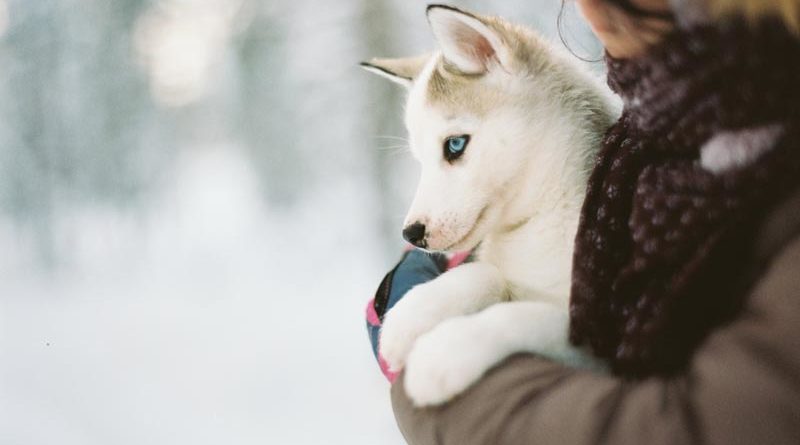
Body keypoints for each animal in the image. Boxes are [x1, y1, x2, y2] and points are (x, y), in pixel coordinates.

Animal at [362, 4, 620, 406]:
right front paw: (415, 313)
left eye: (454, 145)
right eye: (419, 158)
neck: (539, 219)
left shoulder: (605, 338)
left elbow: (527, 316)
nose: (411, 233)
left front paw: (444, 353)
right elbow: (485, 273)